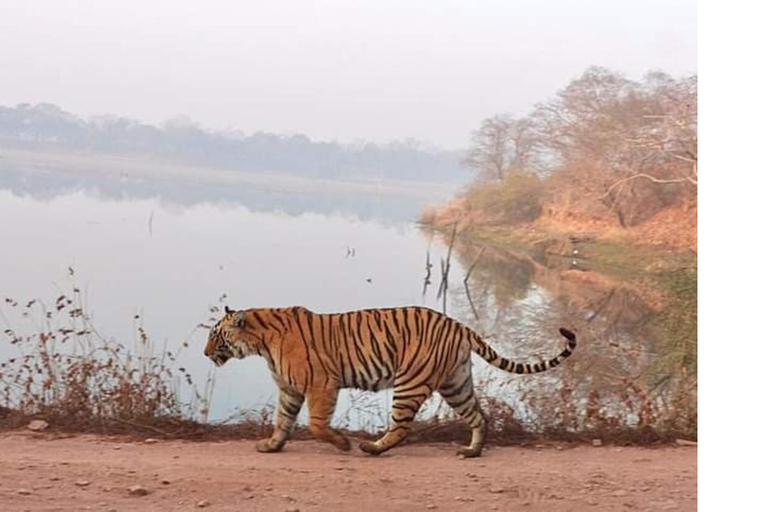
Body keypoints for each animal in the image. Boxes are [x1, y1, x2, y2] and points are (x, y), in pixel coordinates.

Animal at [204, 306, 576, 458]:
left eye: (215, 335)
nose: (205, 353)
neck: (261, 342)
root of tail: (458, 325)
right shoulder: (290, 389)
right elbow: (282, 421)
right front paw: (271, 446)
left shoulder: (321, 385)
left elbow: (317, 425)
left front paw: (343, 444)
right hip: (456, 384)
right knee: (478, 416)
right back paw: (472, 452)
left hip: (409, 383)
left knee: (401, 427)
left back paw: (371, 448)